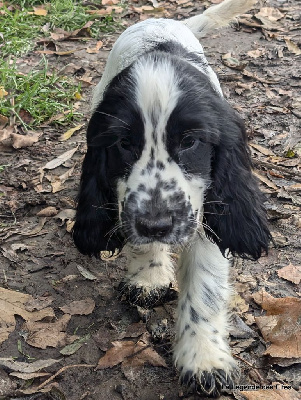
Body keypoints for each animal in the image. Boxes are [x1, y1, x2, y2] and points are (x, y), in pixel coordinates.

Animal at [73, 0, 270, 396]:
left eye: (190, 141)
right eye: (124, 142)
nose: (157, 225)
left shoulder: (206, 208)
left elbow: (204, 281)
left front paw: (204, 358)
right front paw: (149, 276)